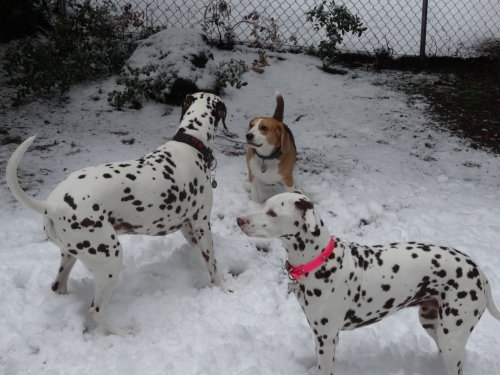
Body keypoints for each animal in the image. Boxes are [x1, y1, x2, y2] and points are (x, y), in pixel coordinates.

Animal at [5, 92, 229, 336]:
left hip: (71, 255)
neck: (190, 143)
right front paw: (224, 288)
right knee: (97, 309)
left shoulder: (187, 226)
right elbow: (213, 265)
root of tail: (51, 205)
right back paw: (122, 332)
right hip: (110, 259)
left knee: (58, 286)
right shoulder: (201, 223)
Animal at [237, 194, 500, 375]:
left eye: (272, 213)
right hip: (432, 324)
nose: (239, 219)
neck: (320, 261)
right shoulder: (320, 336)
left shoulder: (327, 338)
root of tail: (479, 271)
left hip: (451, 337)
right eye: (265, 205)